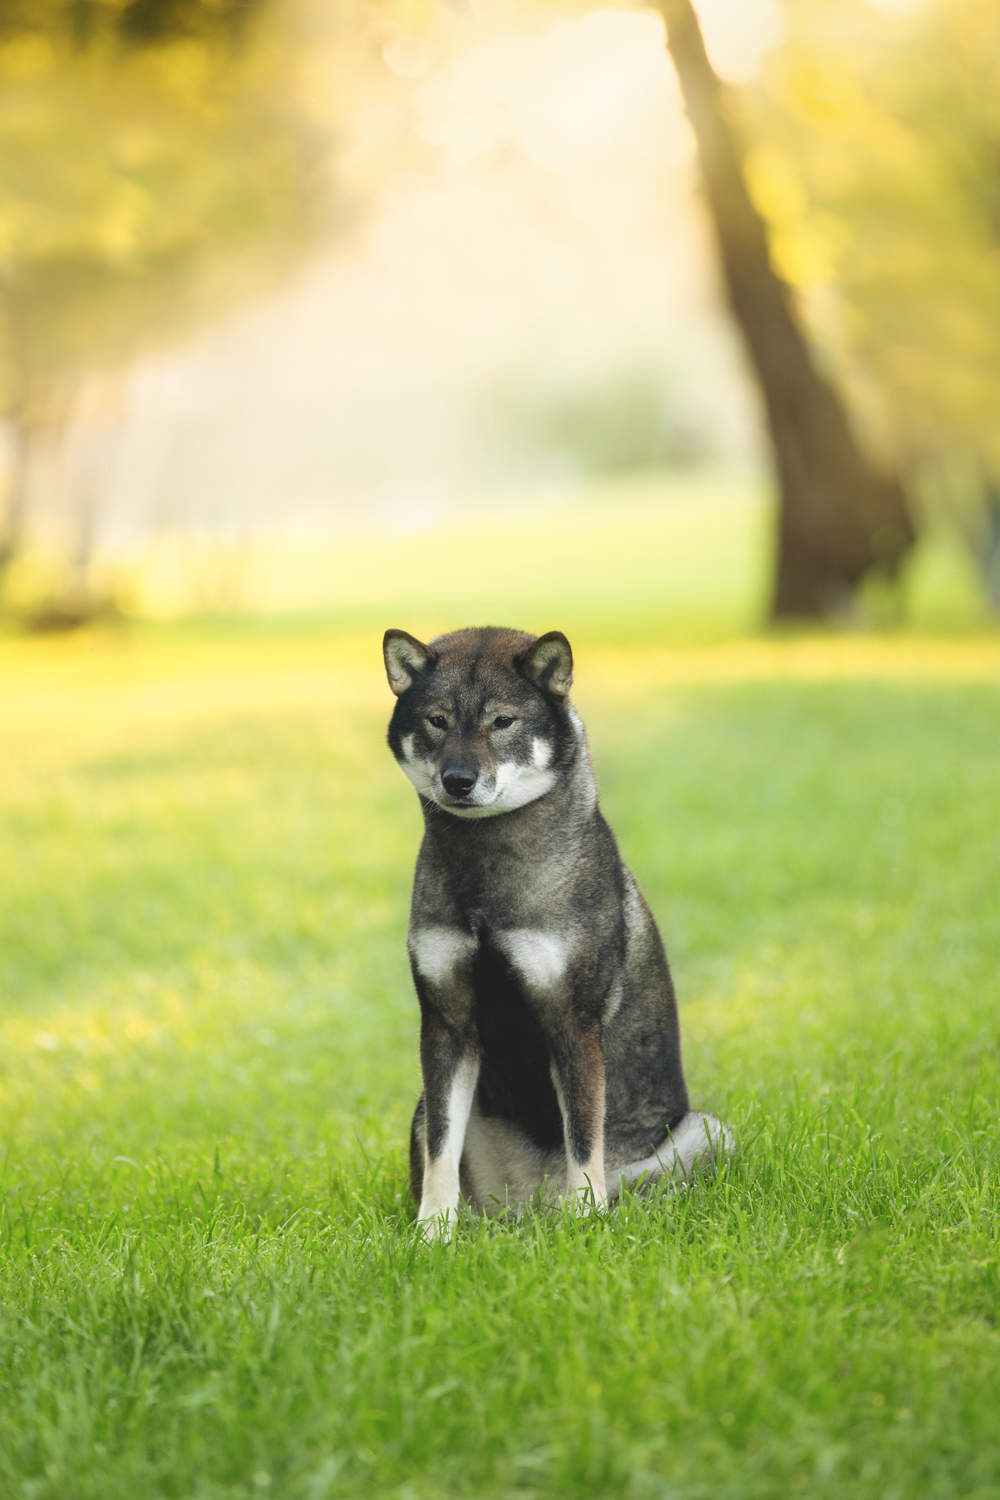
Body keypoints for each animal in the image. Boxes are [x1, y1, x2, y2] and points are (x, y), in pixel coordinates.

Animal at [380, 624, 728, 1242]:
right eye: (437, 720)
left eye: (503, 721)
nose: (458, 780)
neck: (486, 866)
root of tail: (529, 1208)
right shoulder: (447, 1023)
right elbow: (442, 1149)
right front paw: (432, 1233)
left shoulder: (573, 1022)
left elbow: (584, 1137)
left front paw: (586, 1219)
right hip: (423, 1104)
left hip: (708, 1132)